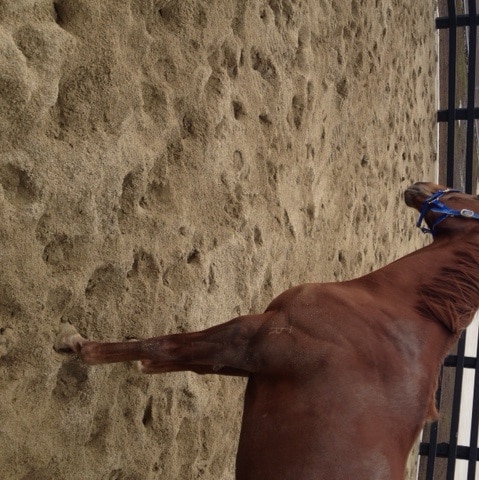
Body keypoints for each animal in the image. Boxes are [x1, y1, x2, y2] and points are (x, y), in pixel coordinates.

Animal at [56, 183, 479, 480]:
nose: (420, 186)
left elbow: (164, 346)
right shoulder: (246, 362)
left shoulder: (251, 338)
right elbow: (177, 359)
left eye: (472, 195)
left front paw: (77, 345)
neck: (389, 310)